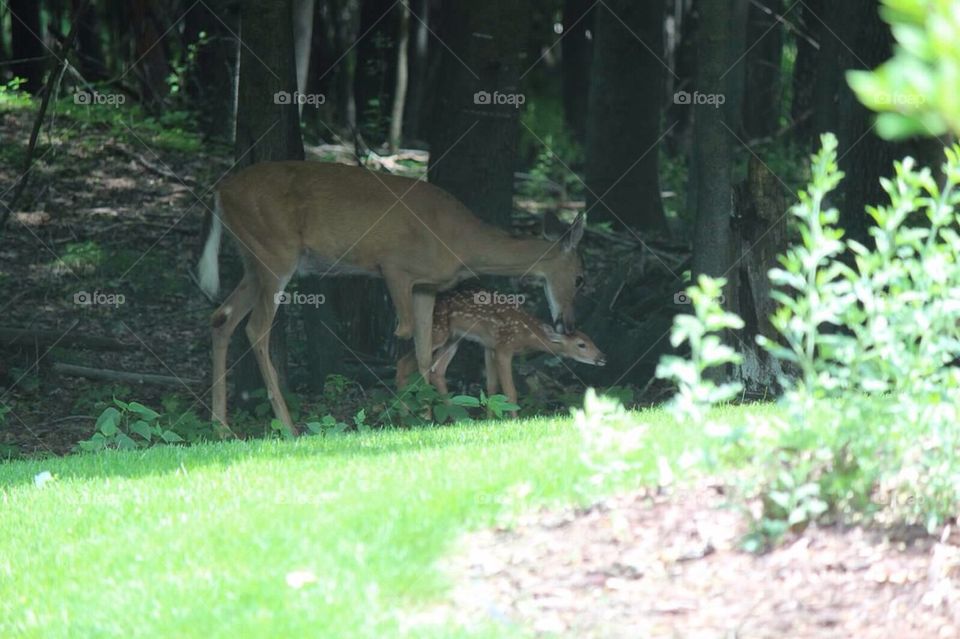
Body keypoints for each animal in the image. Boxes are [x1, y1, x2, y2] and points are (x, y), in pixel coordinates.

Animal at [395, 287, 606, 409]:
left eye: (591, 340)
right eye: (581, 344)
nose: (603, 357)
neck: (525, 334)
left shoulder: (490, 346)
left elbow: (492, 388)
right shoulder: (504, 347)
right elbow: (510, 392)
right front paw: (514, 419)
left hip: (454, 339)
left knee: (437, 370)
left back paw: (451, 415)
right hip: (438, 332)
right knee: (406, 362)